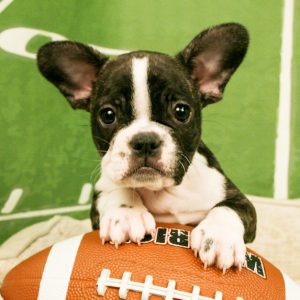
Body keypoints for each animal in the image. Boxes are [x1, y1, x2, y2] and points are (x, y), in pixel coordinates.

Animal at [37, 22, 256, 272]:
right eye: (108, 115)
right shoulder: (98, 200)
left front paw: (219, 238)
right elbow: (114, 189)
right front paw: (126, 213)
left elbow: (228, 208)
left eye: (182, 111)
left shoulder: (239, 200)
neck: (160, 190)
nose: (145, 141)